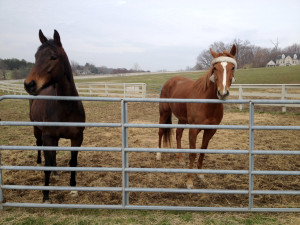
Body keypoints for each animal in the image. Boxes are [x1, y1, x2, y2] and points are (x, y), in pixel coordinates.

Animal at [23, 29, 85, 202]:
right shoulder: (48, 136)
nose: (29, 84)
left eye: (53, 57)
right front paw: (46, 195)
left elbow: (73, 162)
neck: (66, 107)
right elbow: (47, 165)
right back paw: (39, 162)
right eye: (36, 56)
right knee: (39, 145)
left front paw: (73, 189)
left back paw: (56, 171)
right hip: (37, 130)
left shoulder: (77, 138)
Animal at [157, 44, 237, 188]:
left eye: (232, 67)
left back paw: (180, 159)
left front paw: (200, 174)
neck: (207, 102)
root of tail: (170, 80)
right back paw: (159, 155)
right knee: (160, 132)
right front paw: (189, 181)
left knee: (178, 135)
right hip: (164, 113)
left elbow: (203, 151)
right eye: (215, 68)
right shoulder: (193, 130)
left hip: (182, 119)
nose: (222, 93)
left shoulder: (210, 131)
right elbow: (193, 153)